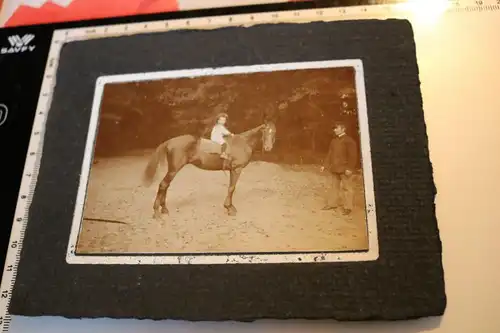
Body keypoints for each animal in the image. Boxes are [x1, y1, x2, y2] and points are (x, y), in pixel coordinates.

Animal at [142, 120, 278, 217]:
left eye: (274, 132)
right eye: (265, 131)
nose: (268, 148)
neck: (243, 143)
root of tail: (170, 141)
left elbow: (231, 188)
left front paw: (229, 207)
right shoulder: (236, 169)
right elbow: (231, 188)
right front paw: (229, 208)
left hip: (173, 170)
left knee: (165, 185)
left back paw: (164, 209)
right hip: (174, 169)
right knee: (163, 185)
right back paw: (157, 212)